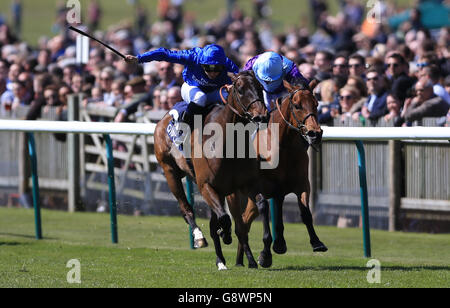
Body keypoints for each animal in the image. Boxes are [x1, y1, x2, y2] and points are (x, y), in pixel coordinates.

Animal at [153, 70, 268, 270]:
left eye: (260, 87)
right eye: (240, 89)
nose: (261, 116)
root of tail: (162, 120)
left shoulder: (245, 185)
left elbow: (259, 207)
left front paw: (260, 255)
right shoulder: (206, 185)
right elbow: (224, 219)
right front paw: (225, 235)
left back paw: (225, 259)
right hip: (170, 172)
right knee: (186, 209)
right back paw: (201, 239)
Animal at [229, 79, 326, 268]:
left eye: (316, 104)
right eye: (297, 105)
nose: (315, 133)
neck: (283, 145)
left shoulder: (300, 184)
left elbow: (305, 212)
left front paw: (316, 242)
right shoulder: (260, 187)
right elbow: (265, 209)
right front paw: (265, 254)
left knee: (245, 220)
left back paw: (241, 260)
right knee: (241, 222)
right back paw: (241, 260)